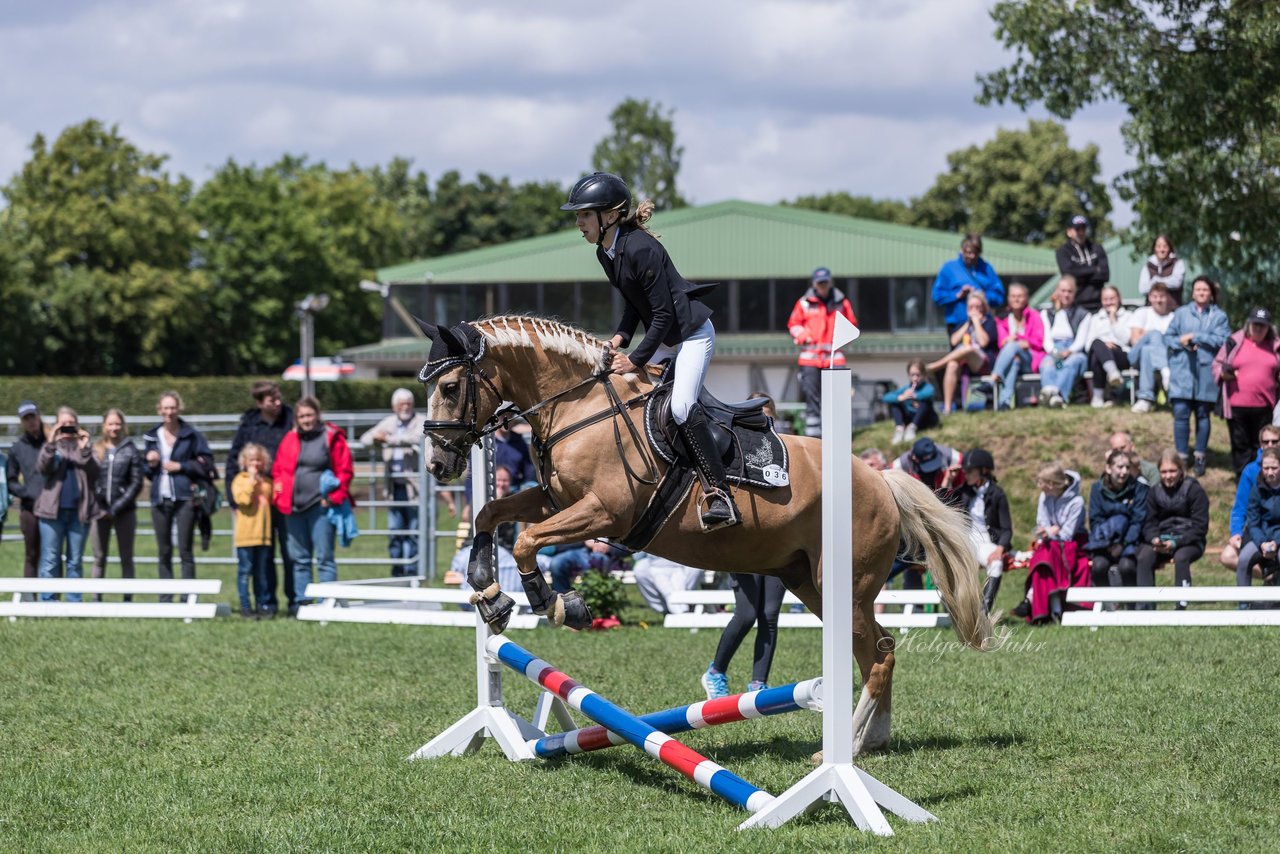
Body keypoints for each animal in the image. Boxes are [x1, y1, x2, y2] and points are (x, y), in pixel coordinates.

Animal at [414, 316, 993, 752]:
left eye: (449, 387)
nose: (439, 464)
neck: (579, 407)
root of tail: (881, 478)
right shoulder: (556, 500)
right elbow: (491, 514)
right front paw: (489, 592)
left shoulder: (605, 512)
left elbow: (525, 541)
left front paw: (557, 604)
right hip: (810, 582)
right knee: (877, 649)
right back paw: (872, 739)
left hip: (841, 586)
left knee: (878, 654)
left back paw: (845, 748)